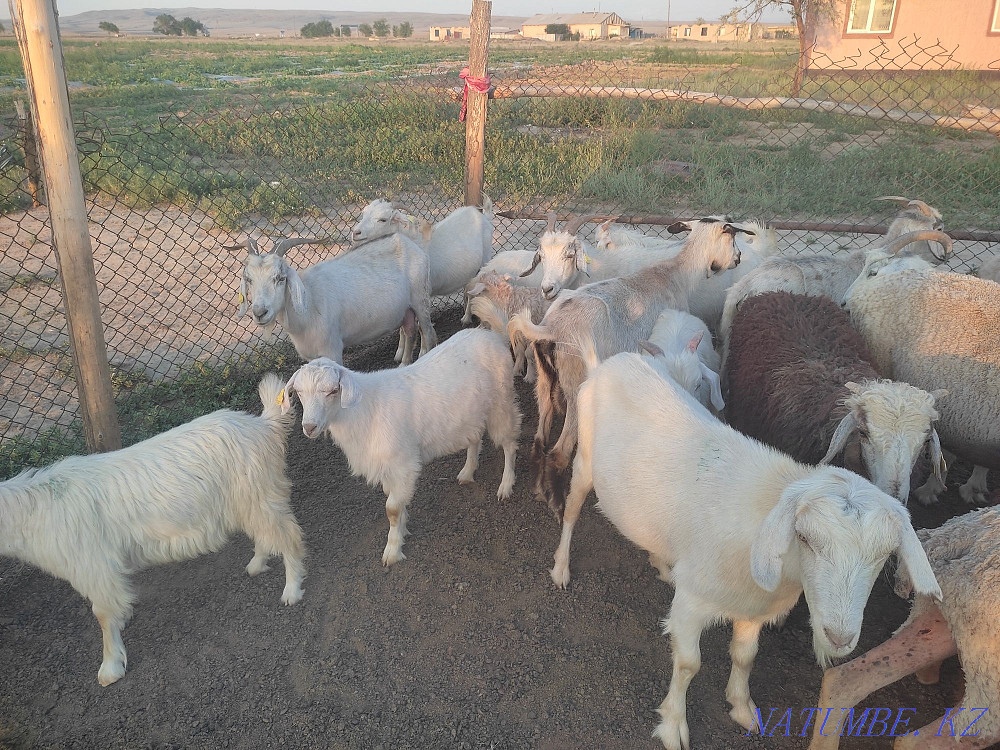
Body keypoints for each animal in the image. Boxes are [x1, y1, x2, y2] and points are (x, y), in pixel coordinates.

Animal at [0, 374, 304, 686]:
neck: (38, 509)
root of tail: (264, 426)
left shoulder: (94, 566)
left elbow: (102, 614)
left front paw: (110, 667)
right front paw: (123, 620)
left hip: (259, 495)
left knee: (289, 536)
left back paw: (291, 590)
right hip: (250, 501)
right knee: (266, 534)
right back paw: (256, 564)